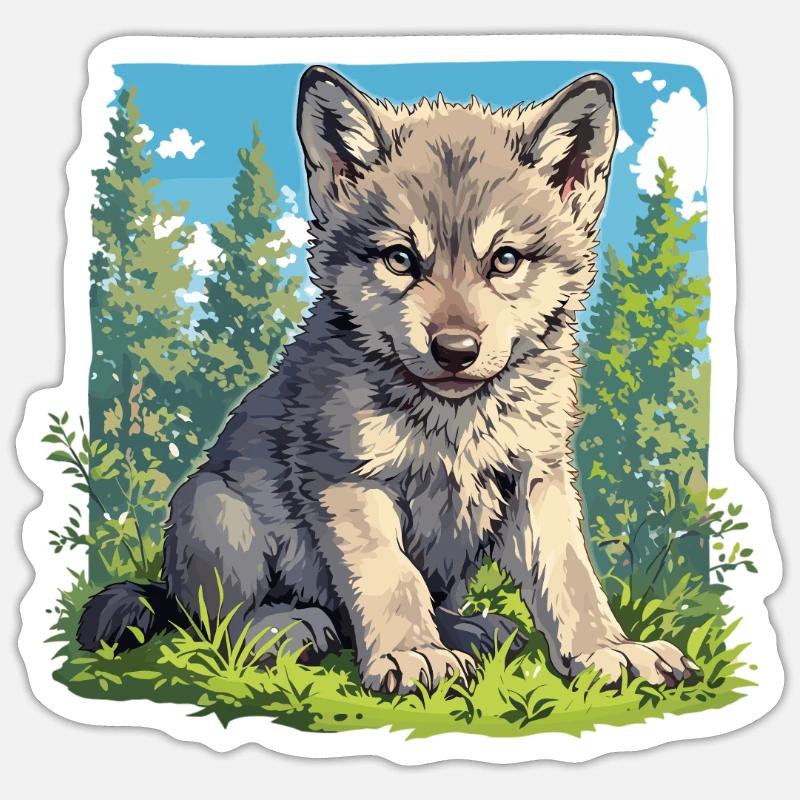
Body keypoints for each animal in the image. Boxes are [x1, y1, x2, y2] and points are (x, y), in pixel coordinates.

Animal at [78, 66, 697, 694]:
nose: (455, 351)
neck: (454, 421)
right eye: (400, 259)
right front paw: (412, 654)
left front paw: (608, 651)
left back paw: (468, 630)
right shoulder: (351, 483)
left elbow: (570, 577)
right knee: (214, 623)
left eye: (504, 260)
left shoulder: (538, 477)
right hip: (213, 509)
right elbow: (391, 578)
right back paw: (287, 628)